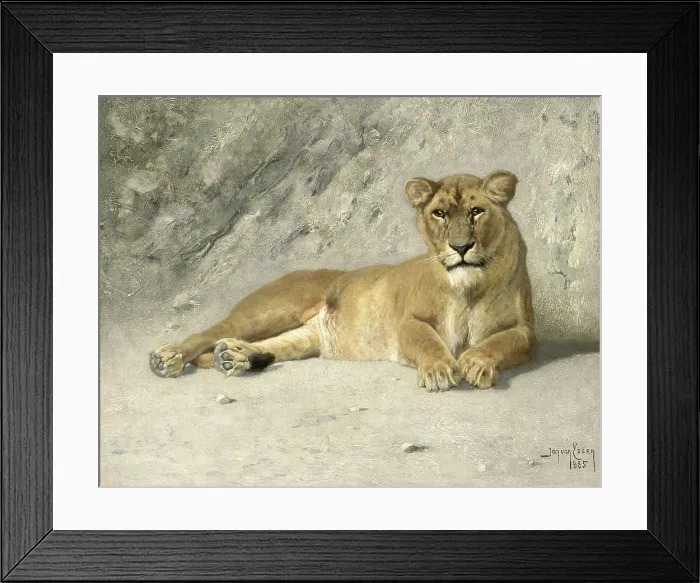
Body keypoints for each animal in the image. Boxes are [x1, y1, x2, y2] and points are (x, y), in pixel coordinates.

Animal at [149, 171, 536, 391]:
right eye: (439, 213)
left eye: (477, 212)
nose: (460, 247)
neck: (469, 287)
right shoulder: (409, 322)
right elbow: (428, 341)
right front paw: (440, 370)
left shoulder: (525, 331)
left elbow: (501, 342)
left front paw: (477, 361)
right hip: (269, 310)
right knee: (210, 334)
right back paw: (168, 358)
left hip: (305, 338)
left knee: (271, 345)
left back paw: (235, 358)